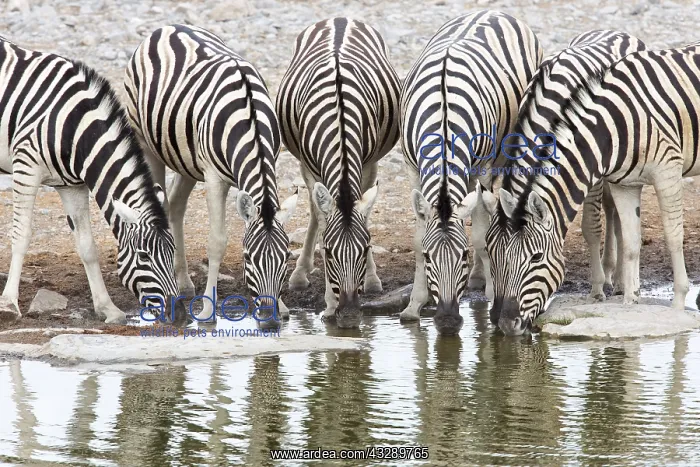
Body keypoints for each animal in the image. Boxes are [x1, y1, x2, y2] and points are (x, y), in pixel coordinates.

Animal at [0, 37, 181, 324]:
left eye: (173, 251)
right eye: (144, 257)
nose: (182, 315)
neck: (76, 128)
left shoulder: (70, 185)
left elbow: (87, 246)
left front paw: (107, 307)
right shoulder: (26, 163)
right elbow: (22, 234)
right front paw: (8, 304)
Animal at [124, 24, 298, 322]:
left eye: (286, 257)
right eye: (247, 257)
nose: (269, 318)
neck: (249, 121)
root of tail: (168, 27)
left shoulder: (271, 160)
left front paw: (284, 307)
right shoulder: (214, 178)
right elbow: (217, 242)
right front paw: (207, 310)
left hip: (186, 157)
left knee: (176, 205)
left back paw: (182, 282)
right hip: (147, 142)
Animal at [276, 18, 400, 328]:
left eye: (365, 248)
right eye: (329, 253)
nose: (351, 316)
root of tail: (340, 19)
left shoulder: (367, 162)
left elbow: (364, 214)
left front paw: (371, 279)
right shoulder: (310, 167)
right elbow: (322, 220)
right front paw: (330, 306)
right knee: (313, 208)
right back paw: (300, 274)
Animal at [398, 11, 542, 334]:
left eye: (461, 256)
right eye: (428, 257)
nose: (448, 321)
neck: (443, 114)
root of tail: (492, 11)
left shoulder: (483, 167)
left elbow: (480, 236)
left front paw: (490, 294)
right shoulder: (413, 168)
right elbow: (417, 237)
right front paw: (414, 304)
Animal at [486, 40, 700, 335]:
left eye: (537, 258)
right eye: (491, 255)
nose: (506, 324)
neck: (613, 126)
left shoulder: (666, 169)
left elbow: (672, 235)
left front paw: (677, 303)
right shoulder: (623, 183)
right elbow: (631, 241)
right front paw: (630, 303)